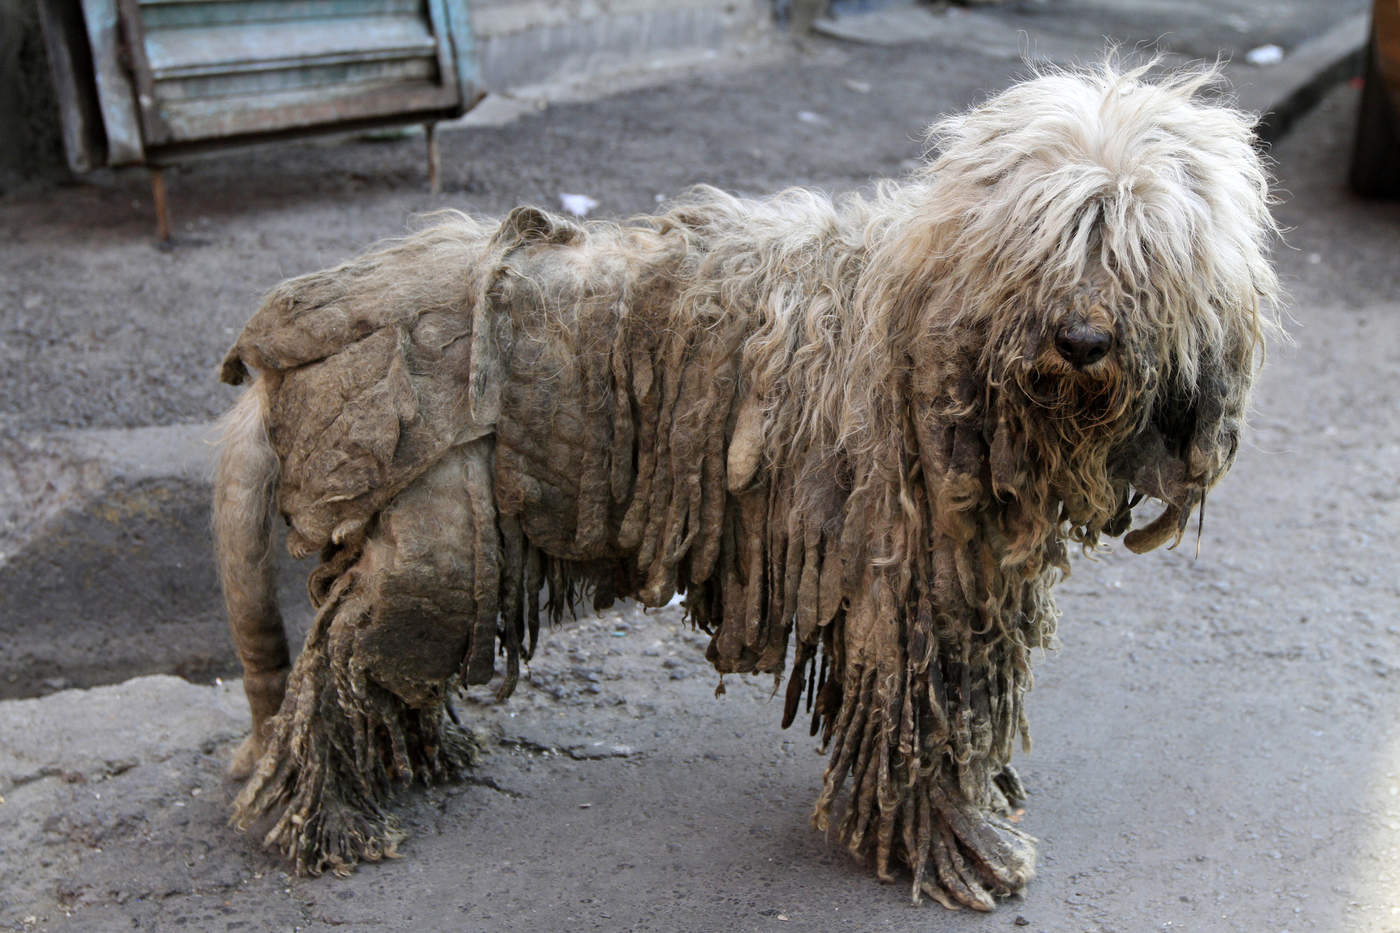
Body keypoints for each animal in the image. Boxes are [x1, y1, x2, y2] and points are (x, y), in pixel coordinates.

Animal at [210, 61, 1282, 902]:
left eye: (1144, 251)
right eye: (1053, 240)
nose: (1084, 339)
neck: (937, 336)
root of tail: (270, 358)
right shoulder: (913, 590)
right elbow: (925, 719)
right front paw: (955, 844)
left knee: (380, 668)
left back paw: (416, 755)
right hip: (431, 536)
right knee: (338, 669)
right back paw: (326, 816)